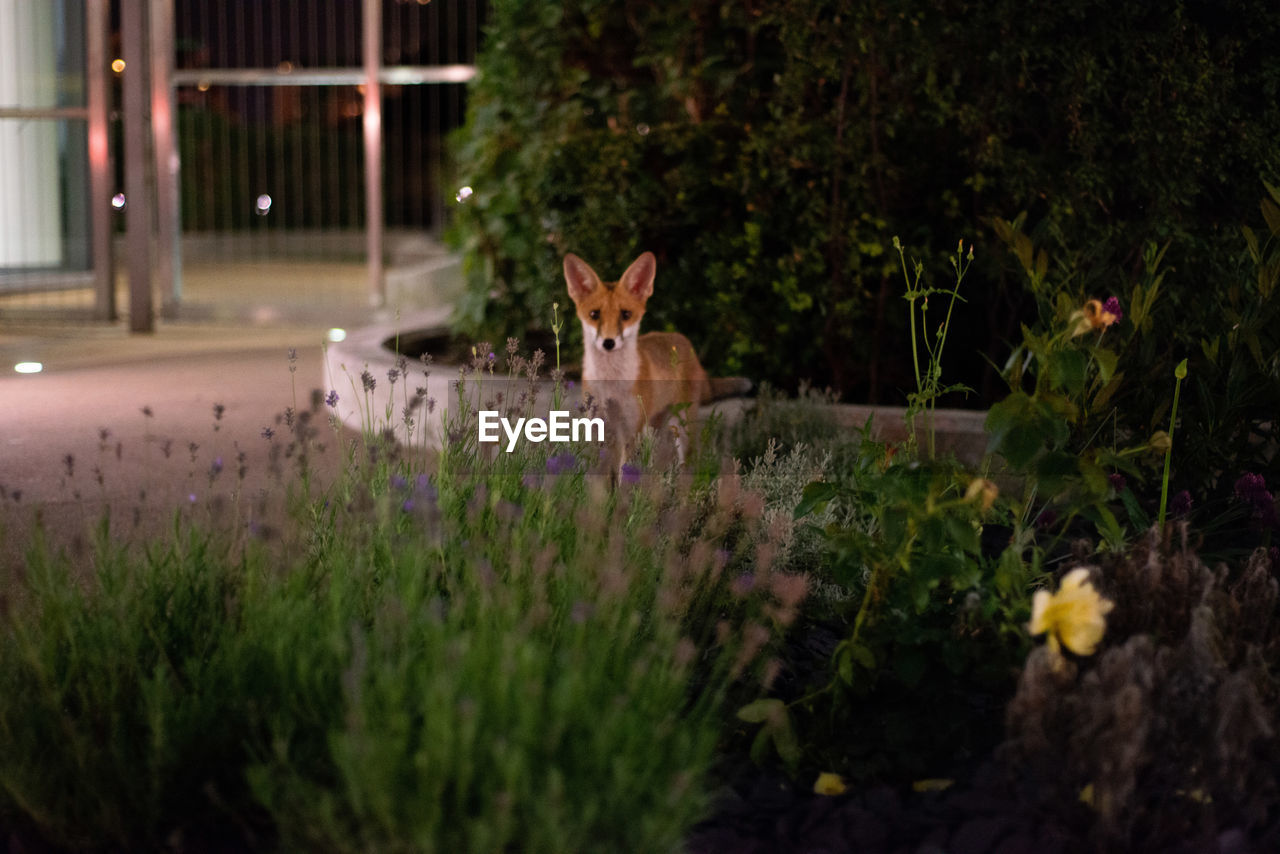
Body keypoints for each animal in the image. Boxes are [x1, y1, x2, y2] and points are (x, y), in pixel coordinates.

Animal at [563, 250, 747, 471]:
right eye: (594, 314)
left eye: (626, 314)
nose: (609, 342)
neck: (611, 383)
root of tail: (683, 341)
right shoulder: (600, 429)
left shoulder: (631, 431)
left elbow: (624, 474)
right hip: (653, 428)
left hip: (681, 426)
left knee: (686, 462)